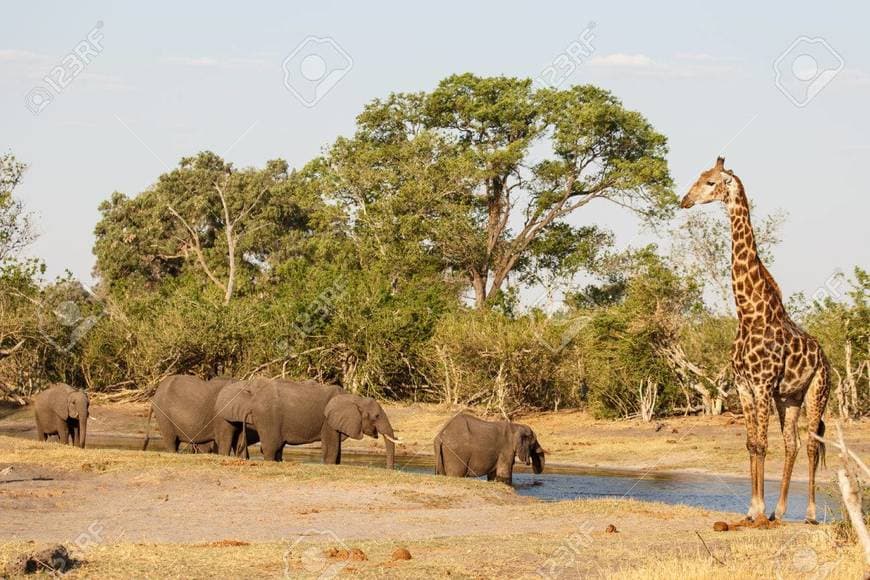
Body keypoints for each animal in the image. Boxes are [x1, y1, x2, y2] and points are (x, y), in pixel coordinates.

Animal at [240, 378, 400, 468]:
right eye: (376, 416)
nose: (389, 469)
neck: (354, 398)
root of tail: (252, 403)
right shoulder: (328, 421)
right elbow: (331, 448)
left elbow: (337, 448)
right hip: (268, 419)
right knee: (271, 448)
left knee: (277, 448)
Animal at [680, 156, 832, 524]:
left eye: (710, 182)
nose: (684, 200)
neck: (748, 313)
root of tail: (826, 358)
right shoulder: (744, 386)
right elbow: (752, 444)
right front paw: (753, 510)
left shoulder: (762, 385)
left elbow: (762, 445)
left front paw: (759, 511)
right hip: (789, 398)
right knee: (792, 443)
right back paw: (780, 510)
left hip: (817, 391)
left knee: (810, 444)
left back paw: (808, 513)